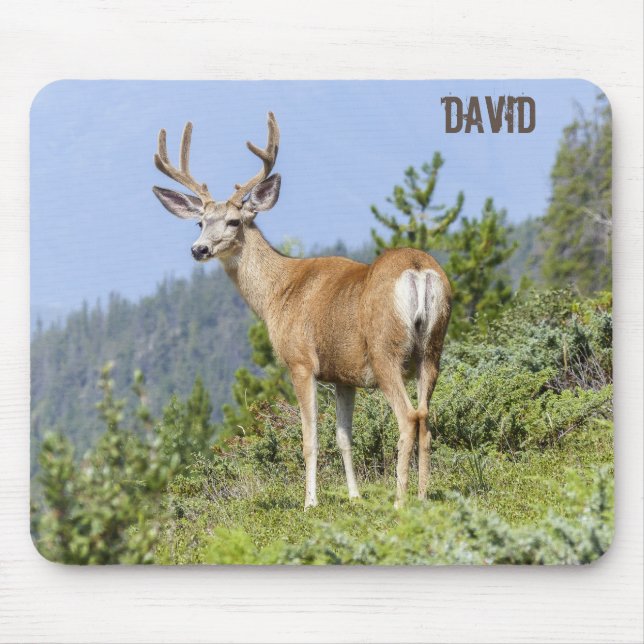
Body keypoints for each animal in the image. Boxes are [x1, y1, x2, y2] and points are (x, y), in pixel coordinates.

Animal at [152, 113, 452, 509]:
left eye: (234, 221)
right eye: (200, 222)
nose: (198, 249)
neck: (277, 293)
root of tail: (418, 271)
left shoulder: (300, 361)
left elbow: (310, 439)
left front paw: (310, 502)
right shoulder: (343, 374)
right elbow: (343, 437)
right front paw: (354, 495)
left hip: (386, 350)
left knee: (409, 417)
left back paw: (400, 500)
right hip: (432, 348)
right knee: (427, 418)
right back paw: (422, 495)